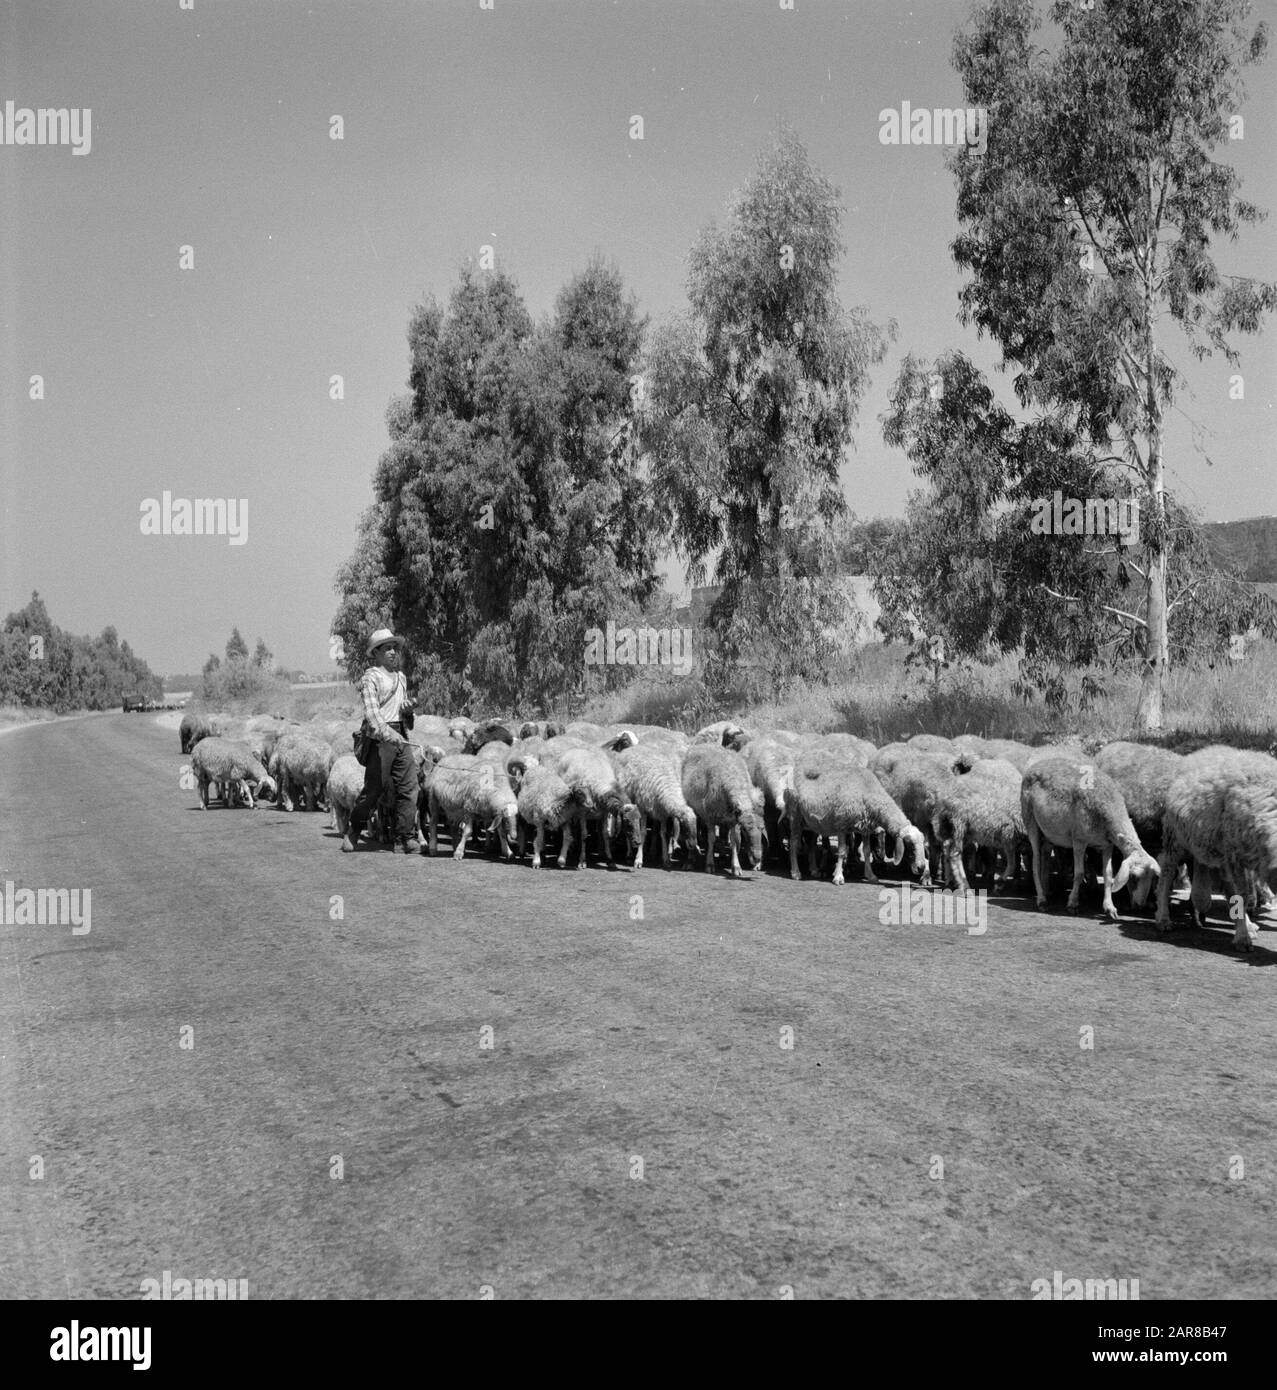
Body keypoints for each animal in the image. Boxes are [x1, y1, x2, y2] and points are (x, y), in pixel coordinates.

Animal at [611, 739, 694, 867]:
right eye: (685, 827)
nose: (693, 846)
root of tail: (629, 749)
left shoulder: (663, 813)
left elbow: (663, 833)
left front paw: (666, 858)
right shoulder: (642, 808)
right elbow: (643, 832)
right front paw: (638, 859)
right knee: (627, 827)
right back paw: (629, 853)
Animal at [783, 756, 922, 884]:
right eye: (909, 845)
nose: (921, 867)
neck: (869, 790)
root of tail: (796, 769)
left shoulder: (865, 828)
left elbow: (866, 851)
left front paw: (870, 875)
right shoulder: (841, 825)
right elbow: (842, 851)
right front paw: (838, 877)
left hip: (811, 821)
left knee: (811, 844)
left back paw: (814, 870)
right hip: (795, 814)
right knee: (793, 842)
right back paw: (795, 872)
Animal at [1017, 756, 1156, 917]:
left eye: (1152, 878)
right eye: (1133, 877)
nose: (1140, 905)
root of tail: (1035, 766)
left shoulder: (1107, 844)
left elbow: (1108, 874)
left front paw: (1109, 907)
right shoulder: (1079, 840)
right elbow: (1079, 873)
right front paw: (1072, 903)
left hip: (1049, 831)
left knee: (1045, 856)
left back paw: (1046, 891)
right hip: (1030, 820)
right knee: (1036, 861)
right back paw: (1041, 899)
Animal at [1156, 750, 1277, 956]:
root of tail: (1197, 754)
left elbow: (1242, 895)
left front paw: (1245, 930)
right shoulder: (1236, 855)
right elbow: (1242, 895)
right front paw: (1242, 938)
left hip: (1210, 845)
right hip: (1175, 837)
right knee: (1166, 873)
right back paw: (1163, 918)